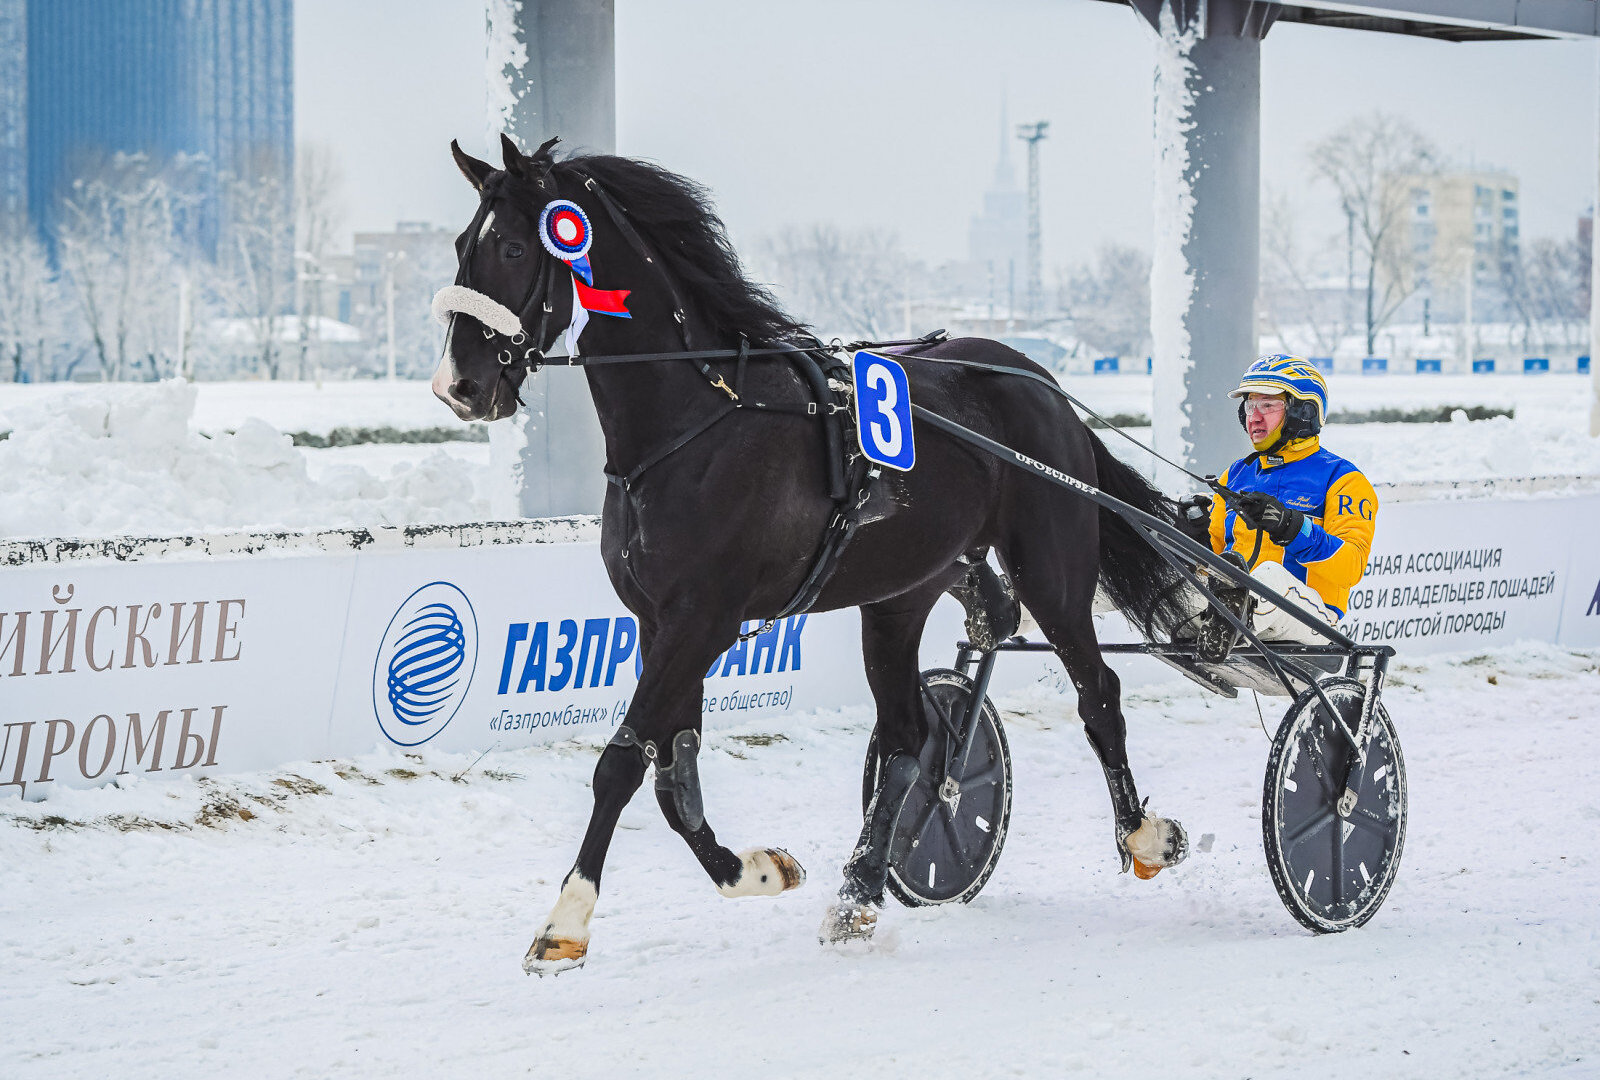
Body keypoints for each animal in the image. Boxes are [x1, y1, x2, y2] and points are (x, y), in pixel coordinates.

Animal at [435, 132, 1190, 972]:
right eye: (463, 245)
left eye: (509, 246)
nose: (459, 384)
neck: (696, 420)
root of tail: (1036, 378)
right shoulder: (660, 623)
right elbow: (673, 775)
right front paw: (756, 869)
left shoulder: (704, 619)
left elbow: (623, 763)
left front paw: (566, 920)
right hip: (897, 597)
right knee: (911, 735)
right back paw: (858, 890)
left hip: (1053, 569)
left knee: (1098, 692)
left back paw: (1143, 833)